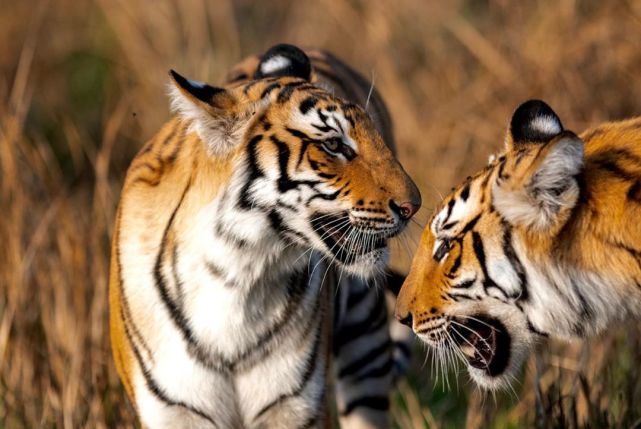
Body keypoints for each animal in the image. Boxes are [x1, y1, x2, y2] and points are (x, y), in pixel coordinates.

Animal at [109, 41, 420, 426]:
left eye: (374, 137)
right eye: (334, 145)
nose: (414, 205)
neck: (235, 272)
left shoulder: (295, 408)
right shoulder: (176, 412)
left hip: (367, 349)